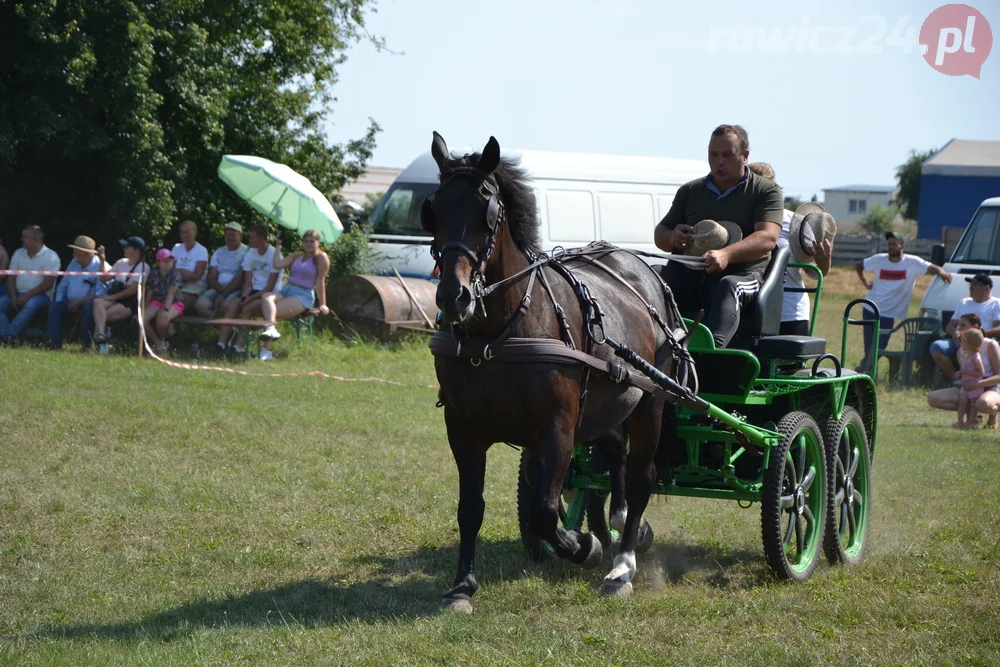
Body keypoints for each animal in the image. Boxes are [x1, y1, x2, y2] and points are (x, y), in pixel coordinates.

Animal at [426, 132, 692, 616]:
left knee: (639, 476)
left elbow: (545, 512)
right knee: (615, 457)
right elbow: (470, 508)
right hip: (607, 404)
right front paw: (461, 587)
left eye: (487, 209)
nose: (454, 297)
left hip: (650, 402)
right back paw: (617, 524)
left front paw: (583, 546)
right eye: (433, 208)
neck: (500, 333)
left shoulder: (558, 428)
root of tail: (642, 268)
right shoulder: (463, 428)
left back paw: (622, 564)